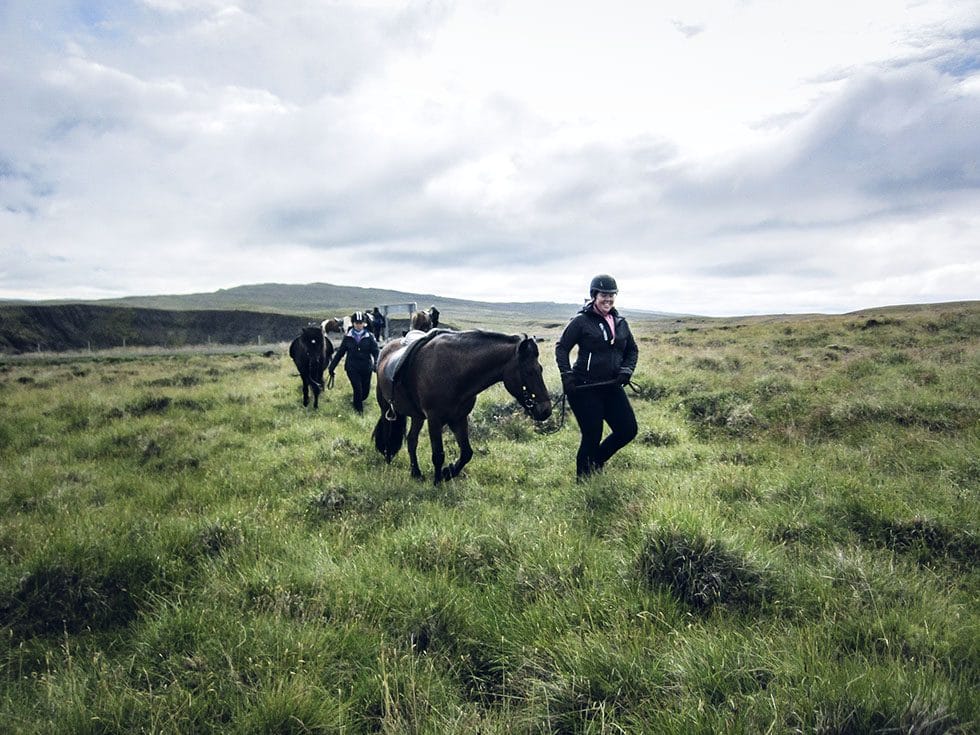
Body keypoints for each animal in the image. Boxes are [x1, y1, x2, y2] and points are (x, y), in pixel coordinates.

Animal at [372, 332, 552, 484]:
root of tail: (386, 349)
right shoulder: (434, 419)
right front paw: (437, 482)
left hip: (417, 416)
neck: (453, 371)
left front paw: (448, 472)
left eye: (540, 369)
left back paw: (416, 473)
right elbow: (438, 454)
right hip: (386, 407)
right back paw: (389, 460)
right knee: (389, 435)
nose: (546, 410)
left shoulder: (459, 419)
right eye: (529, 372)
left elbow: (466, 453)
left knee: (411, 440)